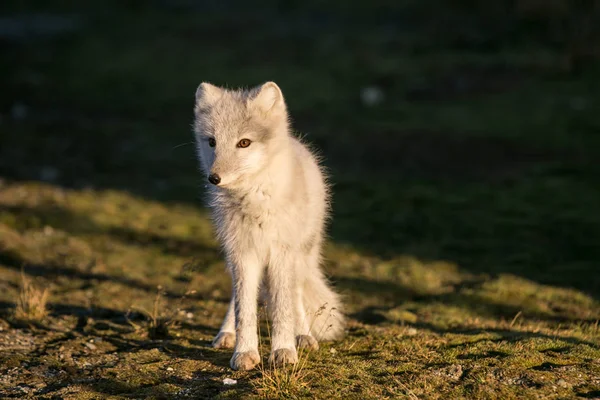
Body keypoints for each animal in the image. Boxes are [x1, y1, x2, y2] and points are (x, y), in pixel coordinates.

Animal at [195, 82, 344, 372]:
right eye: (212, 142)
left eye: (244, 142)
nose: (214, 178)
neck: (254, 199)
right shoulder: (242, 254)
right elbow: (244, 309)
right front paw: (244, 352)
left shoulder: (281, 253)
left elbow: (283, 308)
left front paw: (284, 350)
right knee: (237, 296)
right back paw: (226, 333)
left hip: (301, 254)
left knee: (295, 294)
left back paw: (303, 335)